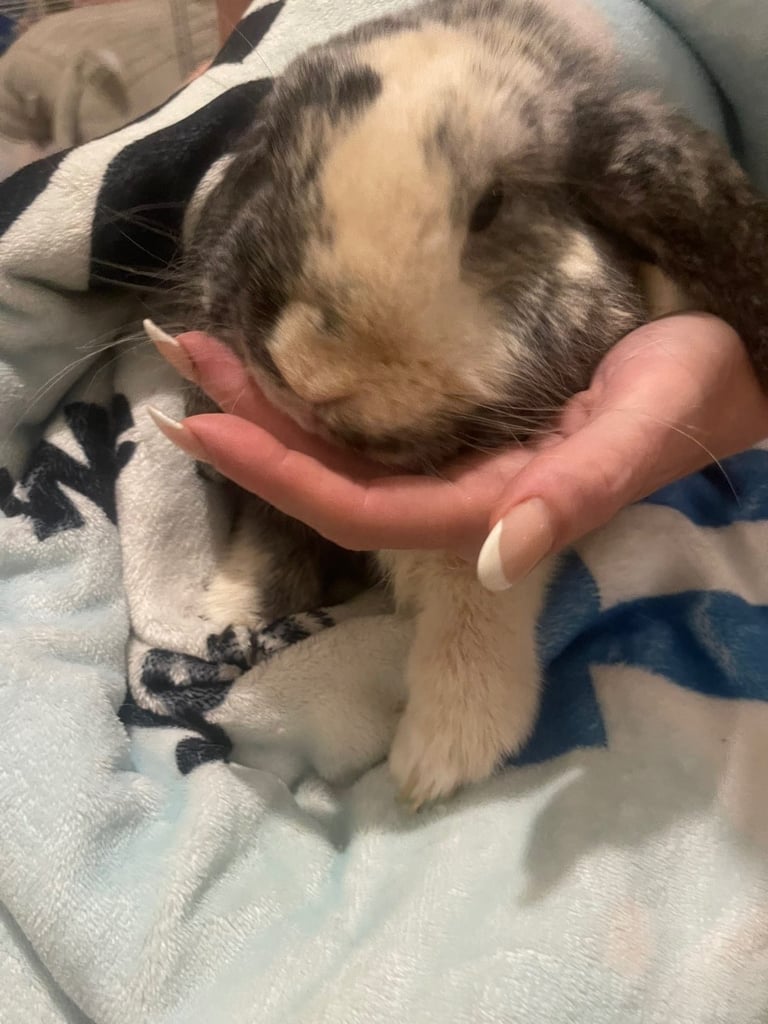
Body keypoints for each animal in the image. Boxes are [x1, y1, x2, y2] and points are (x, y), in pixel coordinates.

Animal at [181, 0, 768, 807]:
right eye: (271, 160)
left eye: (491, 207)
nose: (309, 372)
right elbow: (276, 529)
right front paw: (233, 607)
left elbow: (476, 588)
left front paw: (440, 754)